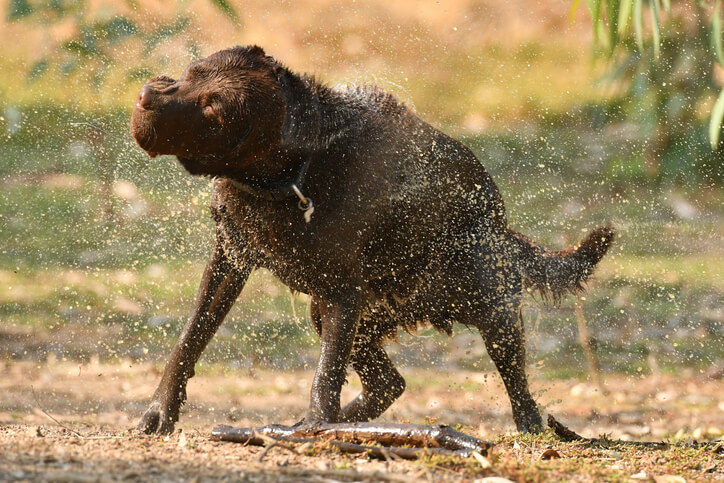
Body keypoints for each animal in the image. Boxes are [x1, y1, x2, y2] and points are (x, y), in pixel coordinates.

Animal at [132, 47, 616, 436]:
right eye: (192, 73)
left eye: (215, 110)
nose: (146, 96)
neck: (295, 174)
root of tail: (503, 226)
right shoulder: (230, 259)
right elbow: (190, 338)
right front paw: (159, 411)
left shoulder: (342, 295)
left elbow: (324, 376)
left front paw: (314, 427)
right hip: (340, 312)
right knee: (389, 383)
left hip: (490, 309)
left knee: (519, 390)